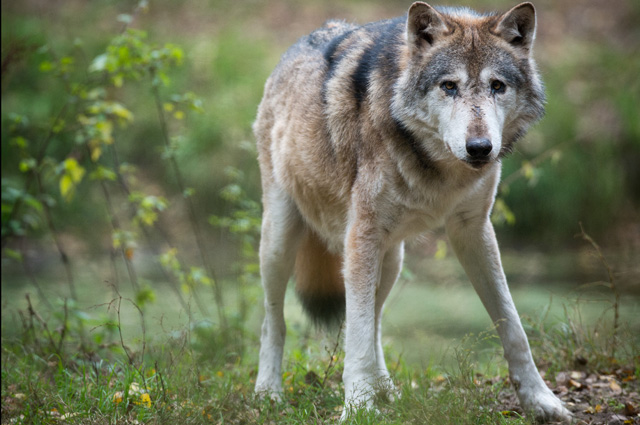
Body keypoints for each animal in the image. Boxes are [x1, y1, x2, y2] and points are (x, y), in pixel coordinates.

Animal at [252, 2, 572, 420]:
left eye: (497, 86)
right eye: (448, 86)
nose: (480, 148)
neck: (441, 170)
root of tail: (304, 39)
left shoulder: (473, 230)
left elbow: (513, 325)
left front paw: (540, 400)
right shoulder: (361, 236)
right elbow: (354, 336)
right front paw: (357, 408)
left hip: (391, 259)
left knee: (375, 320)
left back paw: (385, 388)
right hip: (281, 242)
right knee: (273, 321)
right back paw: (268, 392)